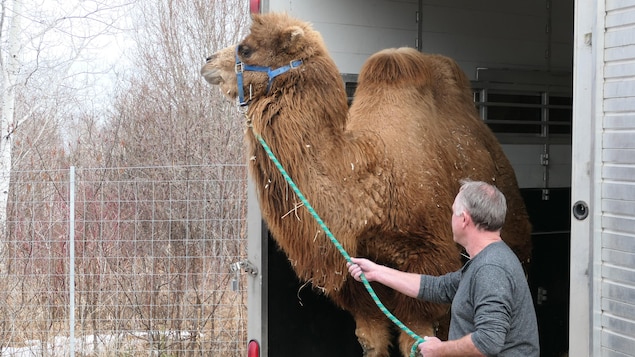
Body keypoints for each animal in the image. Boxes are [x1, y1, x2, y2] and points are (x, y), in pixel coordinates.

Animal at [200, 12, 532, 356]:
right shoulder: (357, 280)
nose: (207, 62)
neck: (368, 187)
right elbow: (372, 340)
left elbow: (415, 338)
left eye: (246, 49)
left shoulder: (428, 261)